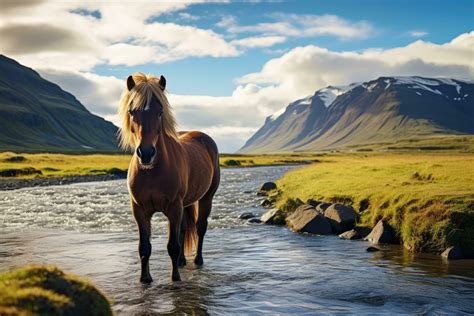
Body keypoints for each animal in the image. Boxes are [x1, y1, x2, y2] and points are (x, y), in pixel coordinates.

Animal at [118, 72, 222, 284]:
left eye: (160, 112)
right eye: (132, 112)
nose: (146, 153)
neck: (152, 173)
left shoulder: (173, 207)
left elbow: (172, 246)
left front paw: (175, 279)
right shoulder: (139, 210)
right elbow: (144, 247)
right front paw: (145, 279)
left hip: (206, 198)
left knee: (200, 227)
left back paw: (197, 260)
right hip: (185, 203)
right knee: (184, 229)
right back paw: (182, 261)